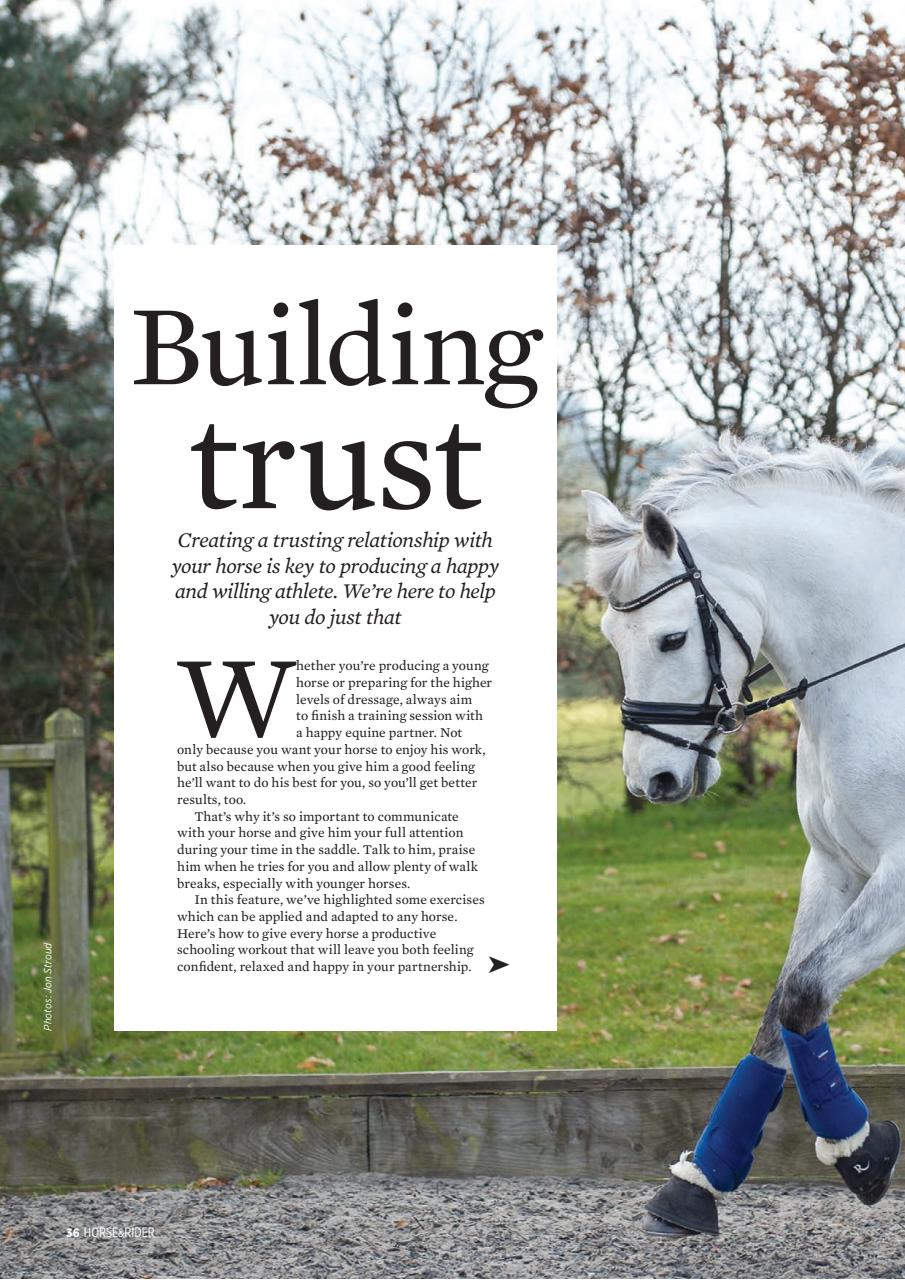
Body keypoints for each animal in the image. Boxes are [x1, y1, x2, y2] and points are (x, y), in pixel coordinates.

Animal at [583, 435, 905, 1236]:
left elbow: (803, 994)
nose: (654, 781)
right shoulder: (833, 869)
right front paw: (698, 1183)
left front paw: (859, 1154)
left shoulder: (902, 876)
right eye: (610, 637)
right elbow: (781, 1011)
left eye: (671, 638)